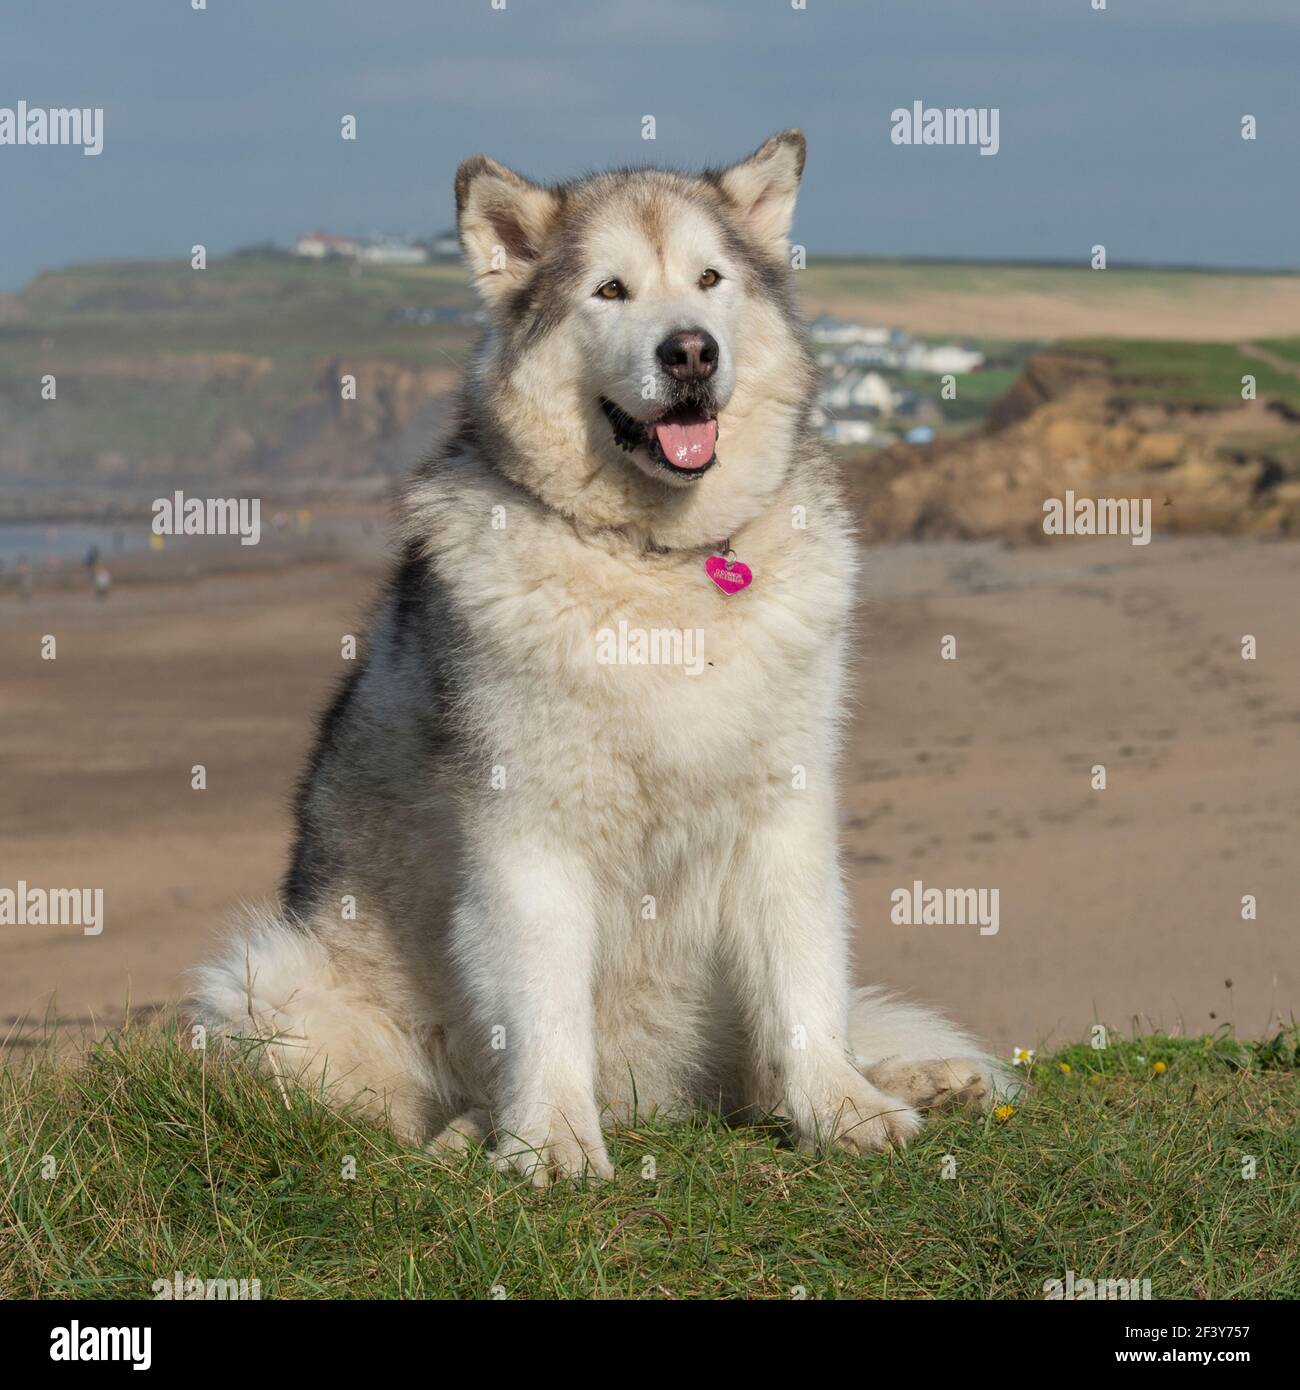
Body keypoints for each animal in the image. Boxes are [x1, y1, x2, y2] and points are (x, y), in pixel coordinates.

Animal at [190, 130, 1006, 1178]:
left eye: (709, 280)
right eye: (610, 291)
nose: (690, 349)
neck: (659, 566)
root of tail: (649, 1094)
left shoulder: (782, 814)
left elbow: (805, 984)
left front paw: (840, 1108)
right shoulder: (526, 833)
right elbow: (544, 1007)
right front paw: (550, 1142)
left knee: (769, 1064)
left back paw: (925, 1080)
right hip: (270, 983)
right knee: (397, 1104)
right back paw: (468, 1133)